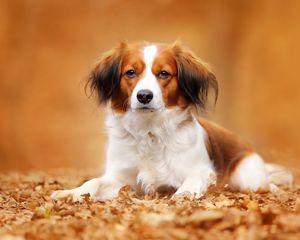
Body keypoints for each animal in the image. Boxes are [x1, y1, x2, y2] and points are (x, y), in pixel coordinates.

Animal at [50, 42, 292, 202]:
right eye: (131, 72)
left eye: (164, 73)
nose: (144, 96)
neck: (150, 131)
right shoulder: (120, 177)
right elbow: (94, 182)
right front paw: (71, 192)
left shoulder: (201, 170)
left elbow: (192, 181)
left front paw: (183, 195)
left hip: (248, 178)